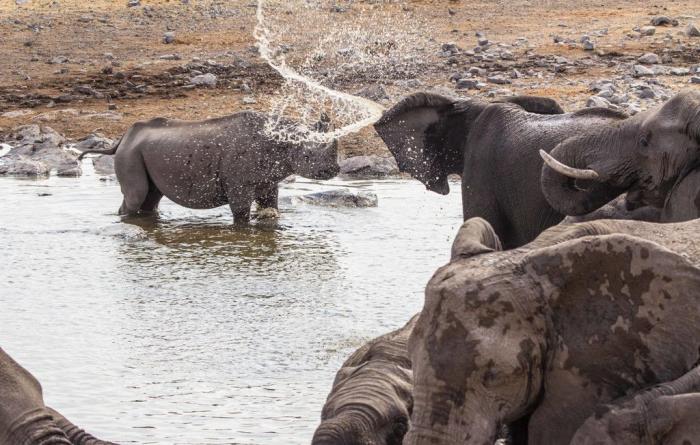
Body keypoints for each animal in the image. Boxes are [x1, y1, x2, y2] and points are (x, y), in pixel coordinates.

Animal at [78, 111, 338, 222]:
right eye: (308, 156)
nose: (333, 171)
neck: (283, 141)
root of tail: (122, 138)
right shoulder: (238, 185)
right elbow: (241, 214)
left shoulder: (268, 180)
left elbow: (270, 206)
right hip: (130, 153)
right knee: (137, 196)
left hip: (141, 151)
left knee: (151, 197)